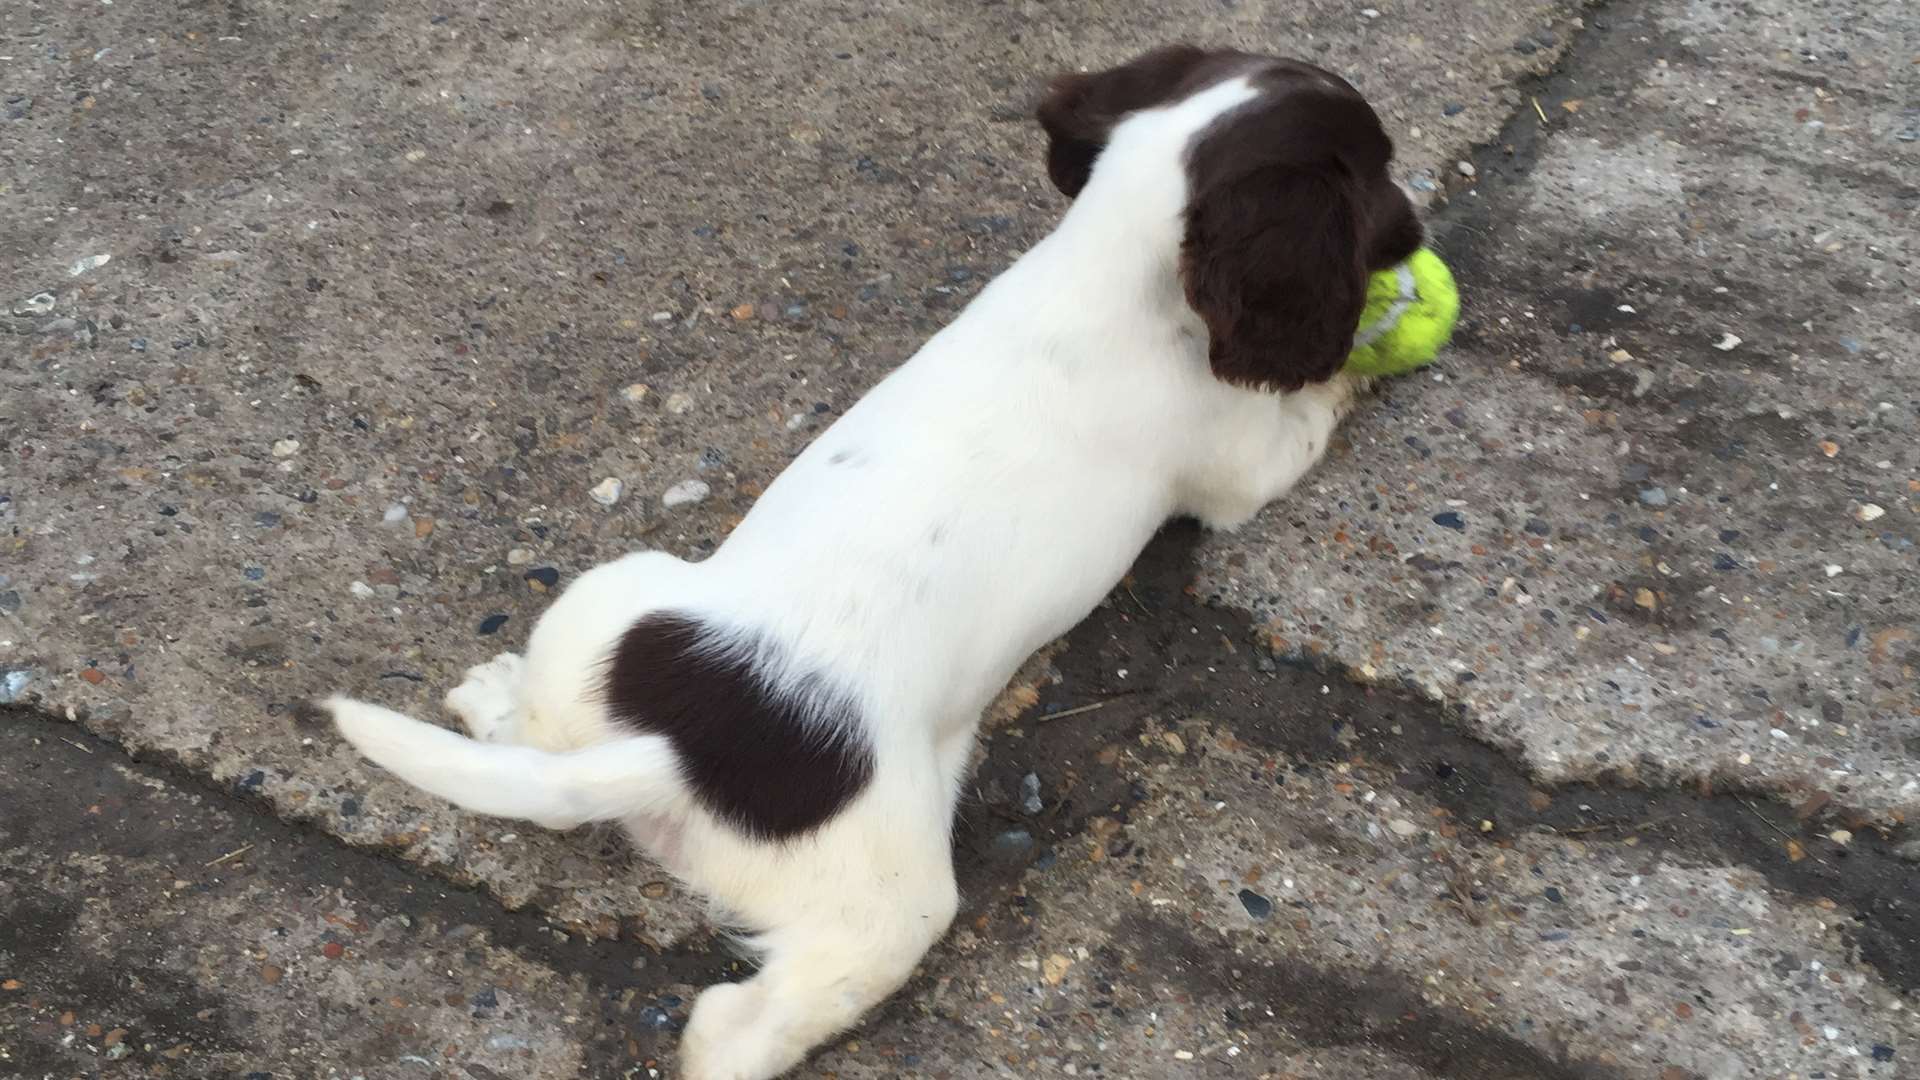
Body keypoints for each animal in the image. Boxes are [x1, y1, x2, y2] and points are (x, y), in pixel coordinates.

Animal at [326, 44, 1428, 1076]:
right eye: (1377, 171)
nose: (1418, 236)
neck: (1107, 264)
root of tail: (675, 756)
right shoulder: (1239, 467)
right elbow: (1307, 418)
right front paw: (1366, 357)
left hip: (616, 596)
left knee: (544, 735)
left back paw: (492, 699)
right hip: (894, 891)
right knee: (757, 1015)